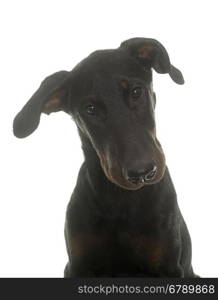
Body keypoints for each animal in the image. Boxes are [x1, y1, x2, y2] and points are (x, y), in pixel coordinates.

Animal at [13, 38, 198, 278]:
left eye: (136, 91)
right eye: (90, 109)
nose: (142, 172)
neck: (121, 200)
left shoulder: (166, 265)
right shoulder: (78, 265)